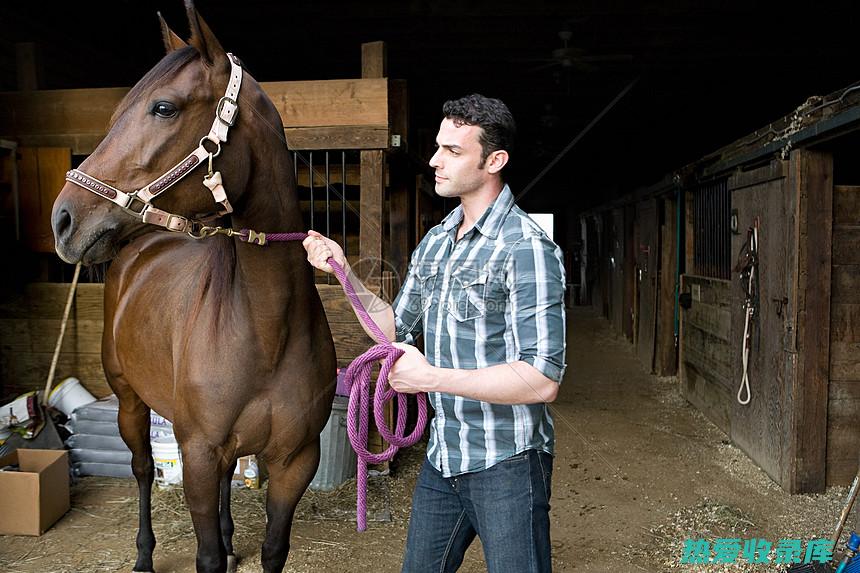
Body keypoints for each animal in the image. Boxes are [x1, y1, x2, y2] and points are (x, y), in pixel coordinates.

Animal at [47, 2, 336, 568]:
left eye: (163, 108)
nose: (64, 219)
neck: (266, 328)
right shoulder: (197, 453)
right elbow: (205, 557)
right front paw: (207, 549)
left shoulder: (294, 461)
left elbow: (273, 549)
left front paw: (233, 543)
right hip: (131, 403)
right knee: (141, 471)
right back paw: (143, 554)